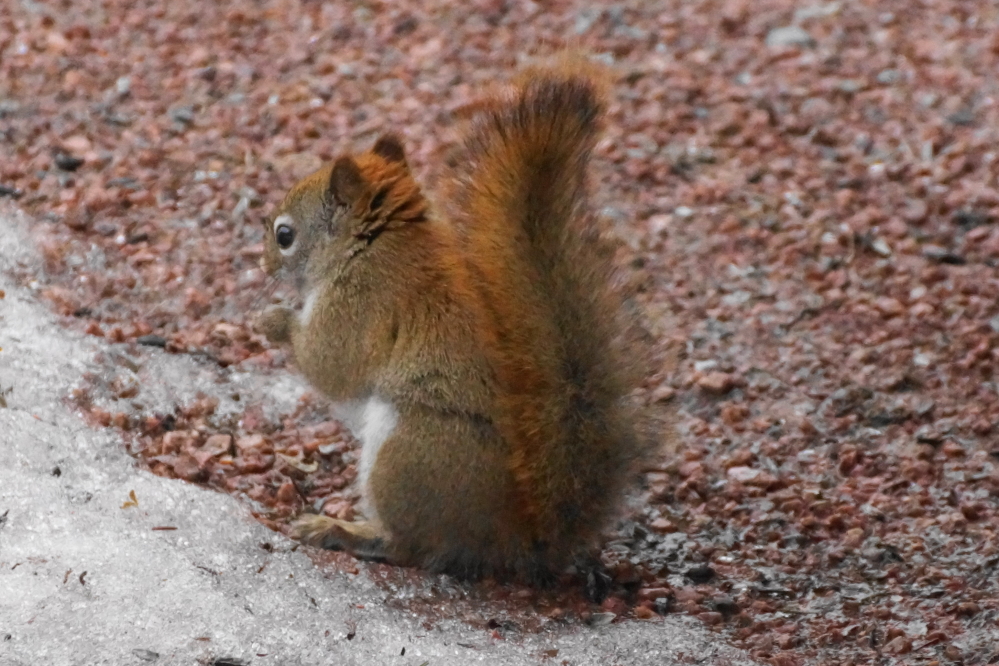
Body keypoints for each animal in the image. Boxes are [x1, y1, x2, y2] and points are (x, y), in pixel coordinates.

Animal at [254, 59, 649, 583]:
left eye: (285, 235)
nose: (262, 266)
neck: (372, 245)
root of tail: (520, 539)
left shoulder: (359, 302)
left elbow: (331, 366)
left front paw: (272, 320)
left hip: (409, 453)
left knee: (412, 546)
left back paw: (344, 531)